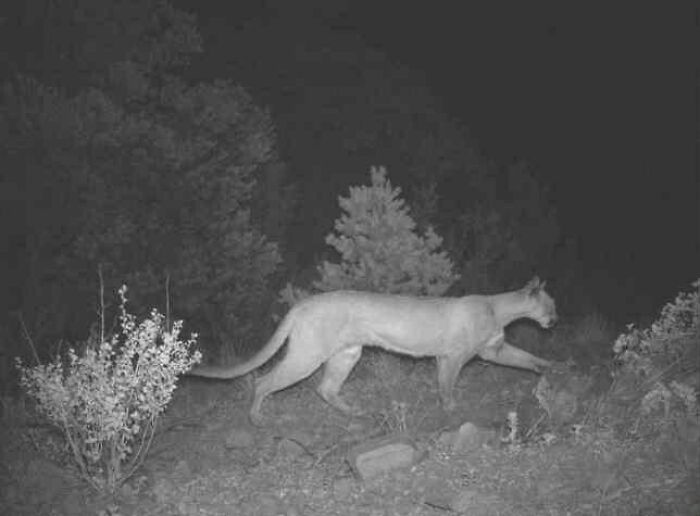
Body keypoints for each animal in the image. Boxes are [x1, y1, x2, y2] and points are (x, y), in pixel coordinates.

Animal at [188, 276, 557, 424]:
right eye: (551, 304)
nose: (556, 319)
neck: (499, 309)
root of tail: (303, 303)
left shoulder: (493, 350)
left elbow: (526, 360)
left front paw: (549, 368)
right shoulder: (452, 357)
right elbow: (447, 386)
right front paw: (452, 410)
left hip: (347, 354)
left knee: (326, 388)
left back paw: (356, 413)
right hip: (308, 355)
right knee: (264, 381)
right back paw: (257, 419)